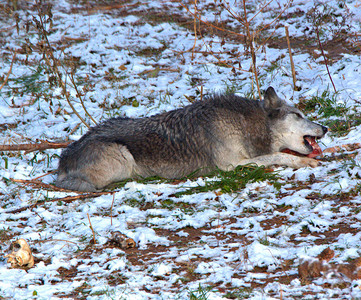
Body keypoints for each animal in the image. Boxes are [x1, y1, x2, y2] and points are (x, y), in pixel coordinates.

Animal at [55, 86, 326, 191]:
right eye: (298, 115)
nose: (324, 127)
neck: (242, 124)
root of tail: (62, 160)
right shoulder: (231, 166)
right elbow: (278, 155)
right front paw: (305, 162)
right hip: (122, 157)